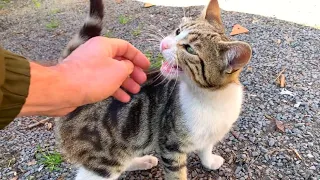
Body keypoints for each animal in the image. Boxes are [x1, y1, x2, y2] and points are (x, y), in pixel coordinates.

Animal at [56, 0, 252, 179]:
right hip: (102, 157)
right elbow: (177, 174)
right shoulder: (170, 144)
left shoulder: (210, 134)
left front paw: (209, 161)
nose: (164, 43)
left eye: (189, 49)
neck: (209, 99)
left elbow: (205, 148)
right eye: (178, 31)